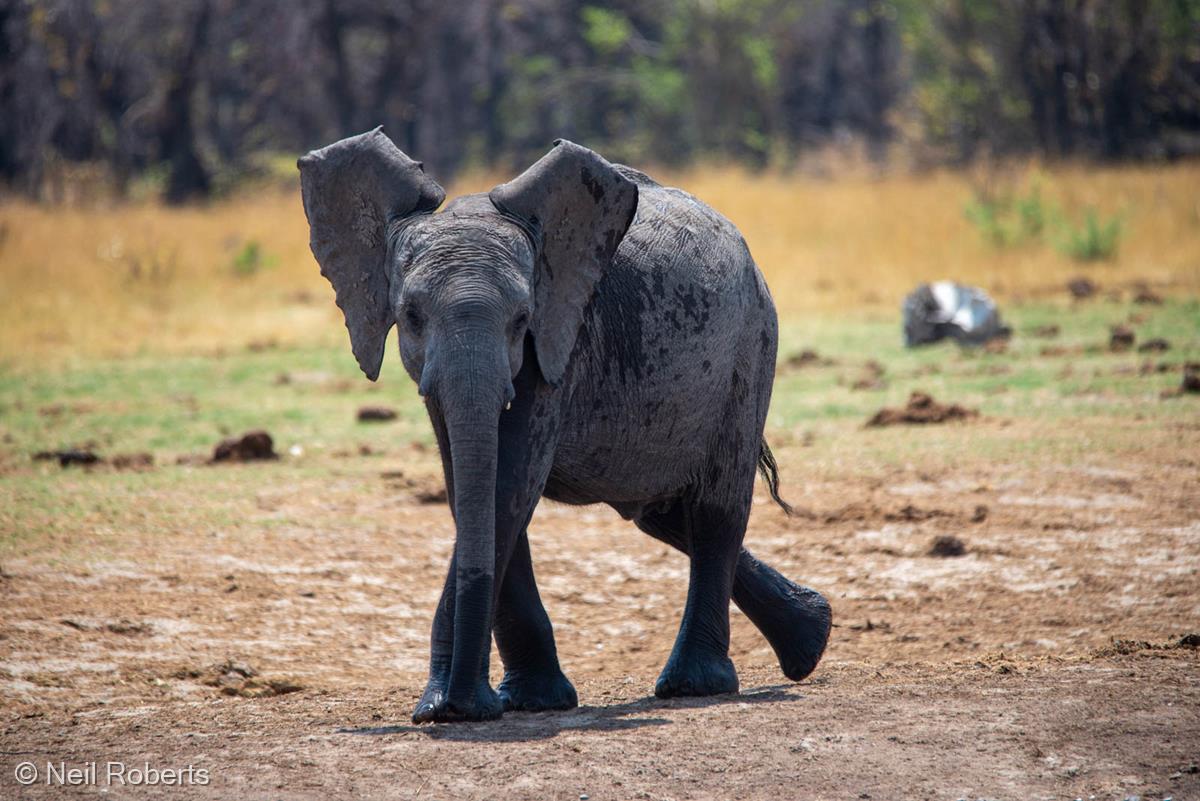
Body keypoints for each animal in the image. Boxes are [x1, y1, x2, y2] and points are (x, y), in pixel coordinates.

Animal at [295, 128, 830, 724]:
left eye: (522, 320)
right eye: (410, 316)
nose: (455, 705)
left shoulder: (562, 342)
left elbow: (508, 487)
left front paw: (456, 708)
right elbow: (473, 490)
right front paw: (519, 703)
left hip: (751, 347)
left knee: (715, 511)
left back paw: (695, 684)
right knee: (664, 515)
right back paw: (811, 635)